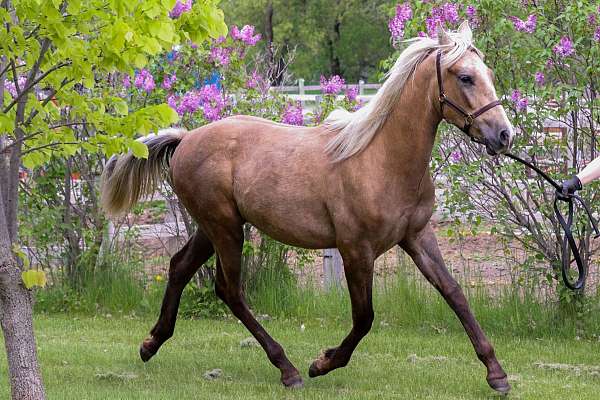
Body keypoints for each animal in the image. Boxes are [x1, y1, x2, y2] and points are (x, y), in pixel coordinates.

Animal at [101, 22, 512, 394]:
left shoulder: (417, 236)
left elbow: (454, 293)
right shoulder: (356, 250)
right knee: (230, 290)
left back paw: (151, 344)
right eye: (465, 77)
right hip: (225, 228)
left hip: (211, 227)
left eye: (490, 75)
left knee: (180, 267)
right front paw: (322, 363)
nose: (505, 135)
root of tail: (185, 139)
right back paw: (288, 369)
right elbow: (364, 317)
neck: (380, 160)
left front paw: (496, 373)